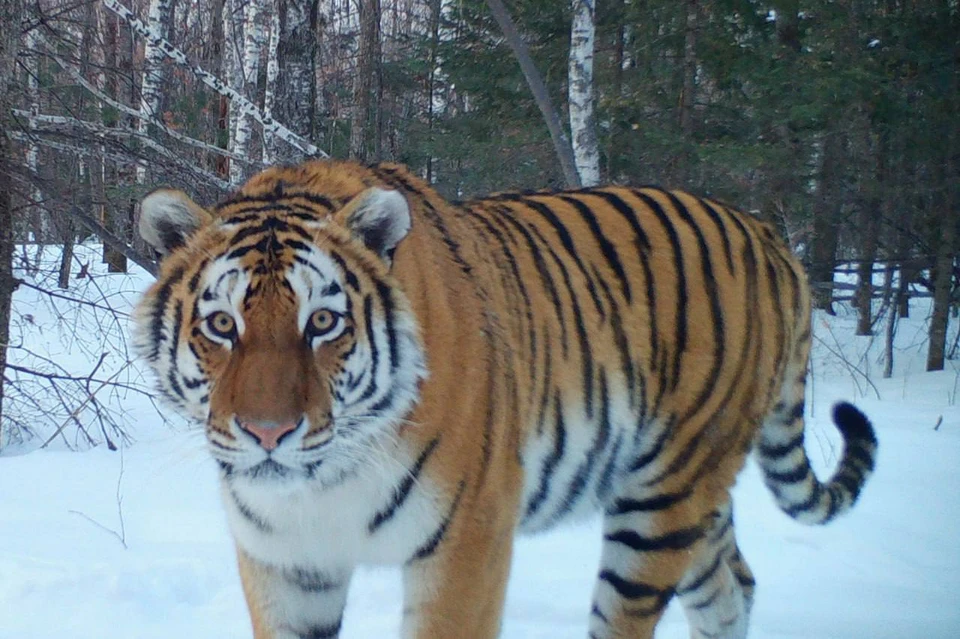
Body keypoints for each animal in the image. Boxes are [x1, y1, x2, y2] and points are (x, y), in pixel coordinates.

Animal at [131, 160, 872, 639]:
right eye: (221, 324)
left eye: (322, 322)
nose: (268, 433)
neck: (326, 482)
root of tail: (766, 233)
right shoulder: (286, 563)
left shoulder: (466, 543)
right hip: (694, 501)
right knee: (731, 588)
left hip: (663, 501)